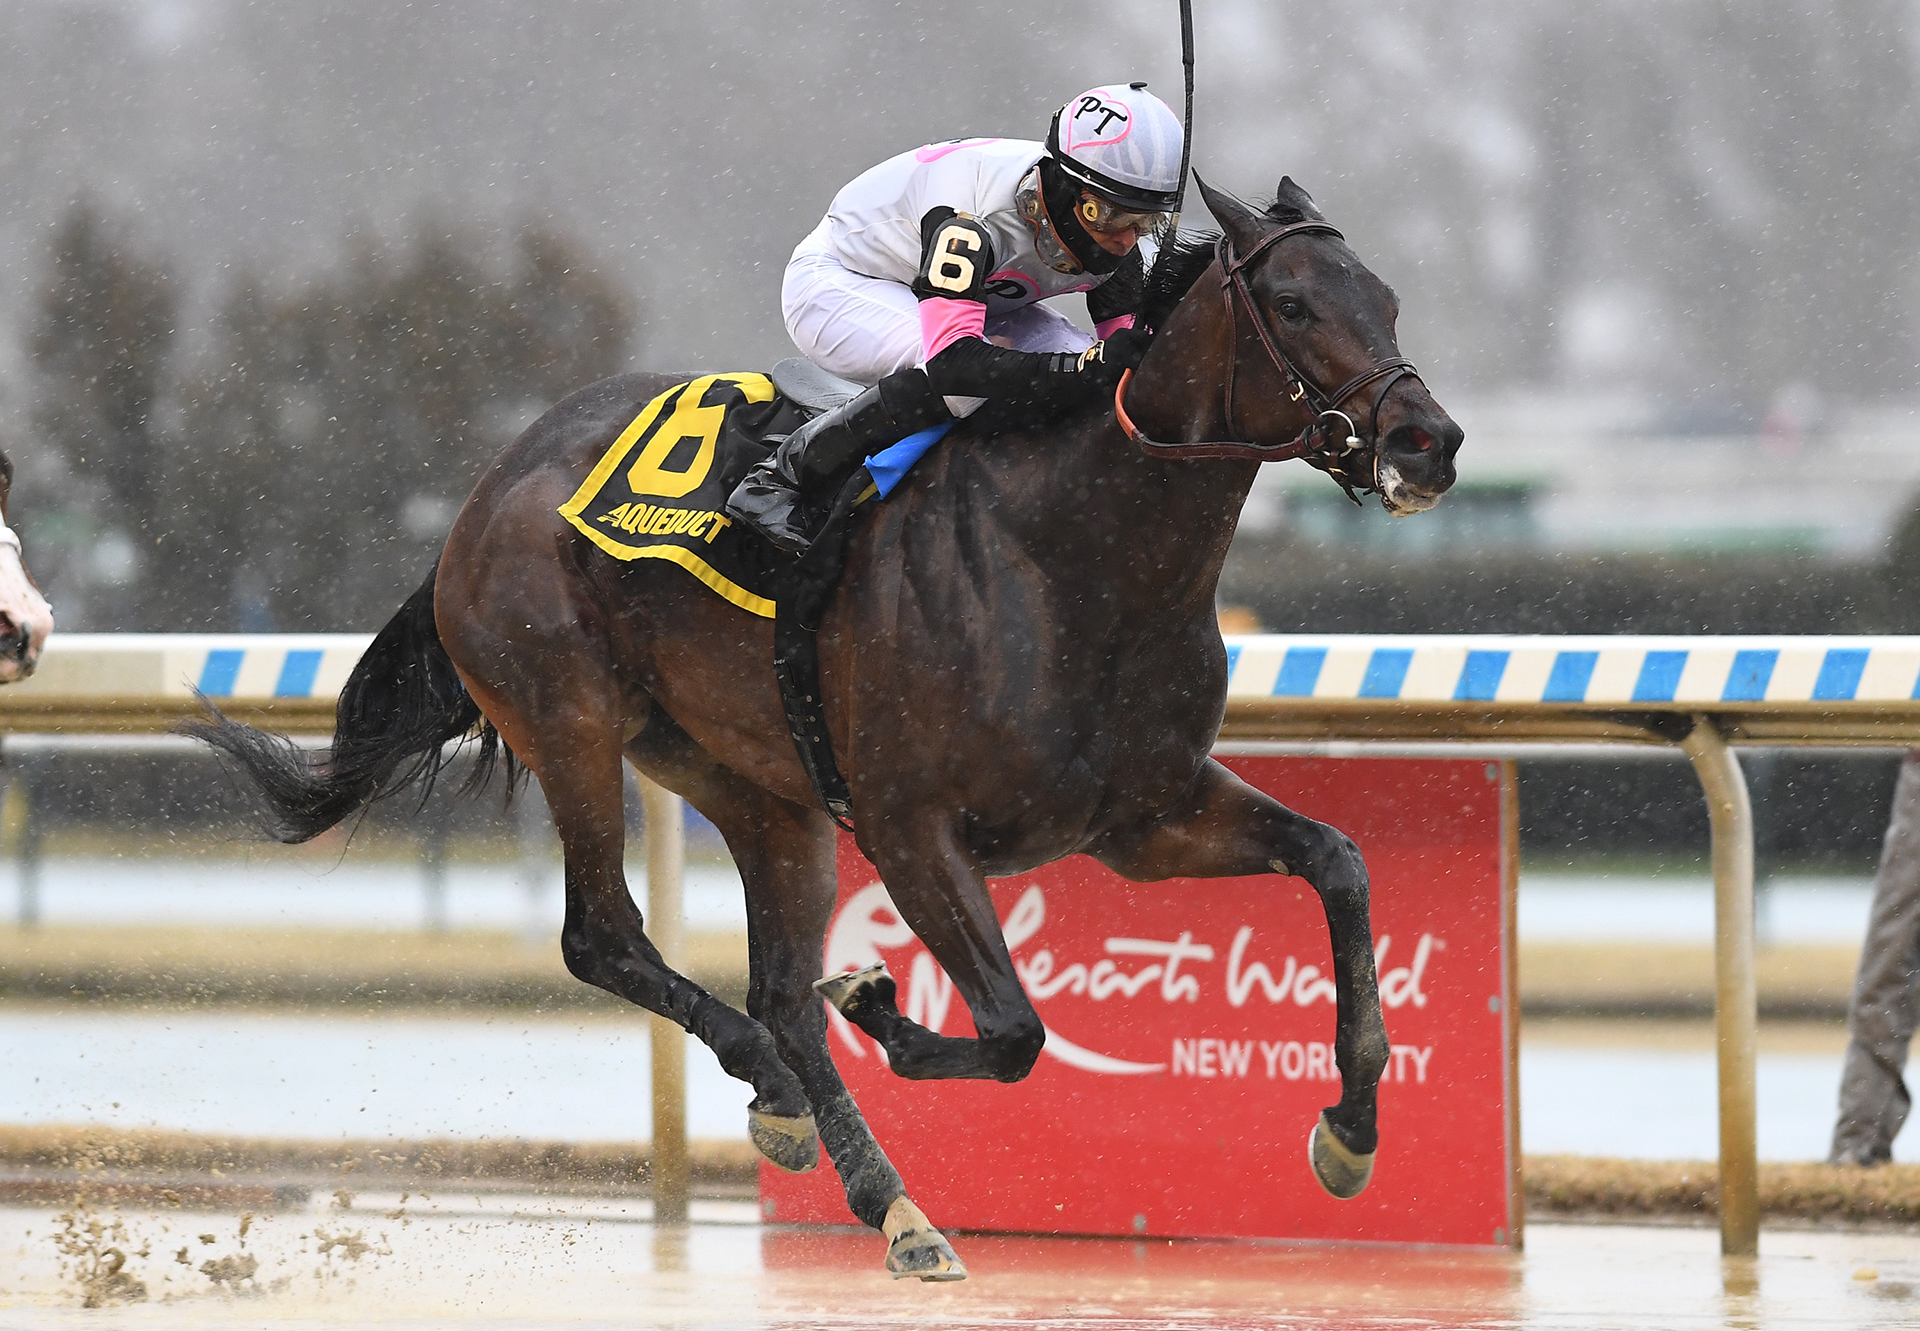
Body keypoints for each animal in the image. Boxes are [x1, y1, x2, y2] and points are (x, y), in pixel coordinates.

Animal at [191, 176, 1451, 1275]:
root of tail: (488, 488)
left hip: (756, 787)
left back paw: (888, 1200)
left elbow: (1336, 862)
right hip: (571, 720)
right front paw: (881, 1001)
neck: (1074, 555)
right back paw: (798, 1103)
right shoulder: (911, 828)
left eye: (1390, 298)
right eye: (1296, 305)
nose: (1426, 441)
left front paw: (1351, 1131)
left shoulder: (1142, 817)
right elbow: (1011, 1027)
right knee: (612, 941)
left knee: (776, 992)